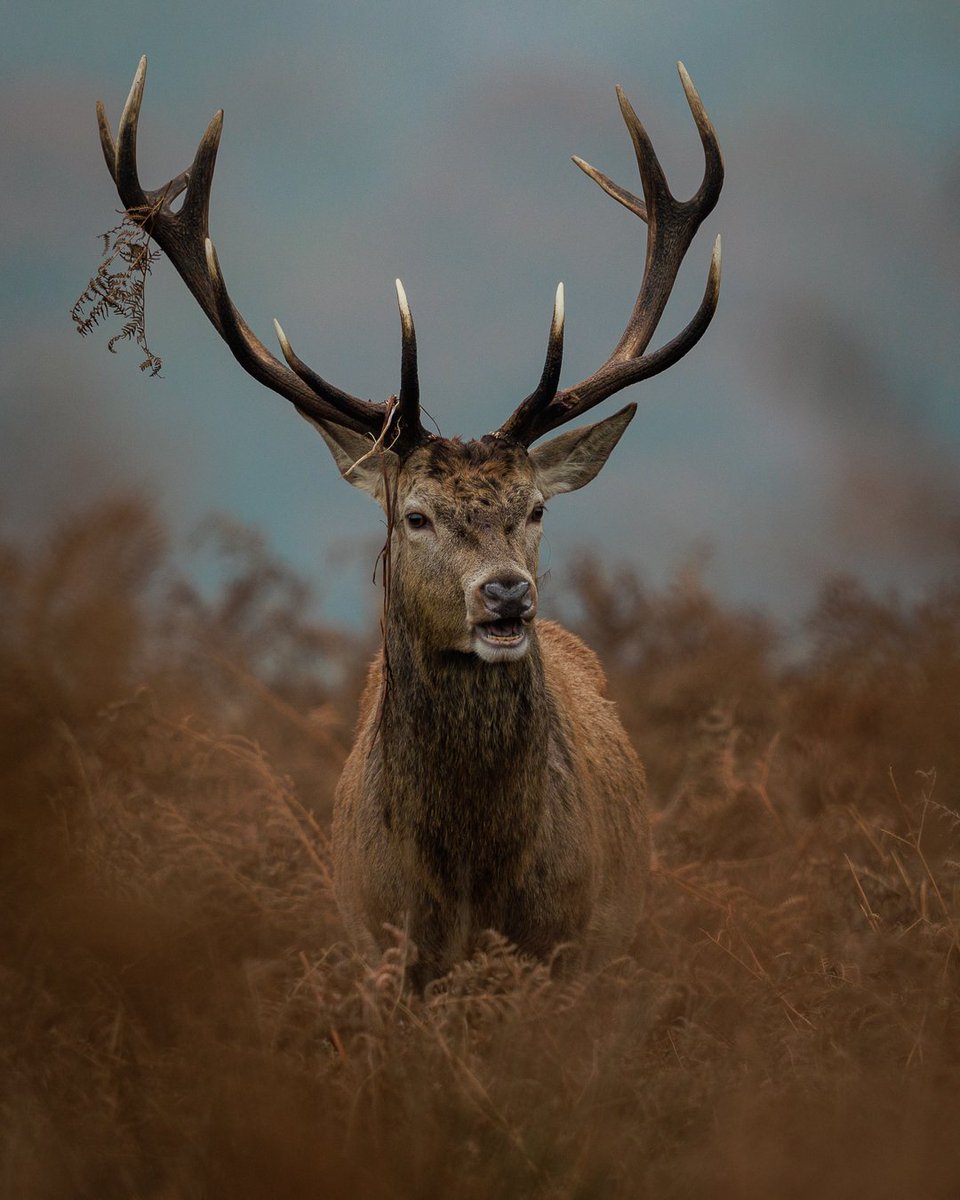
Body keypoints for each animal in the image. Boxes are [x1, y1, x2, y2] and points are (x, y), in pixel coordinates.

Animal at [95, 56, 720, 984]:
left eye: (537, 507)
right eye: (416, 516)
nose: (507, 594)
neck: (469, 890)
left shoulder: (572, 950)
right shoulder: (382, 948)